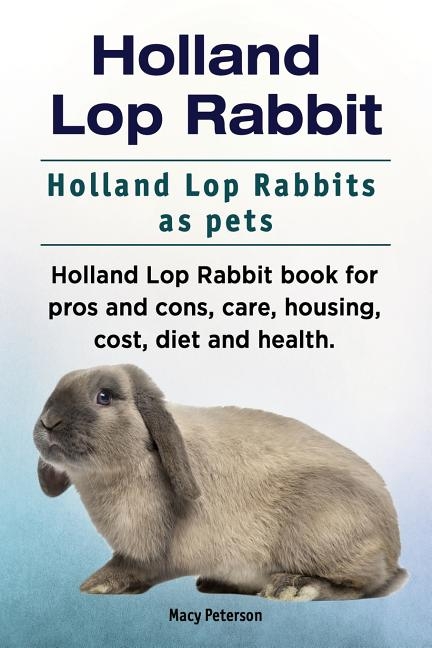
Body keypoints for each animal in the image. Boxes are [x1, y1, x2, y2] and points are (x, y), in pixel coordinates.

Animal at [33, 364, 407, 601]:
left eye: (104, 396)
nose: (49, 421)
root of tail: (393, 547)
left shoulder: (154, 550)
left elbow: (136, 567)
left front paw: (99, 583)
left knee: (365, 584)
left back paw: (295, 587)